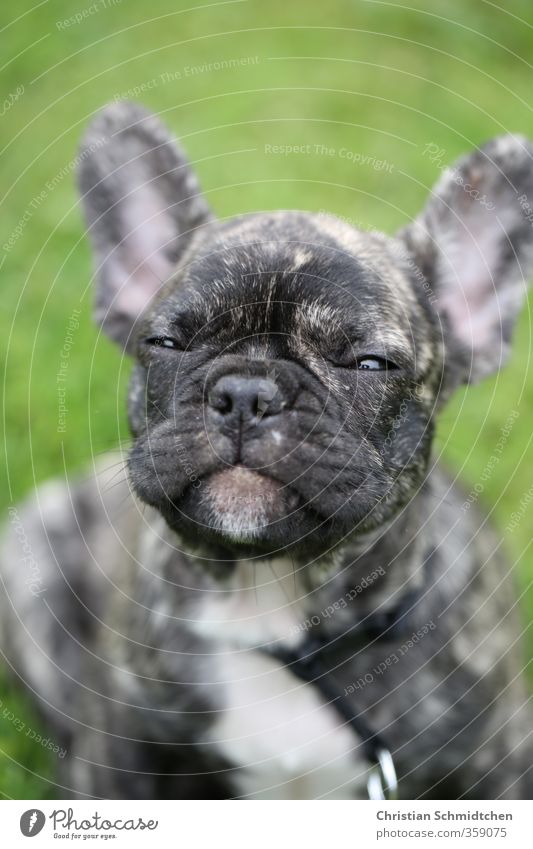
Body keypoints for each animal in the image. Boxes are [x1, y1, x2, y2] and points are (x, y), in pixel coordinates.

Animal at [1, 102, 532, 800]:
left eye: (370, 363)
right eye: (165, 342)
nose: (246, 393)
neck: (270, 601)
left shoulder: (499, 766)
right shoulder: (119, 760)